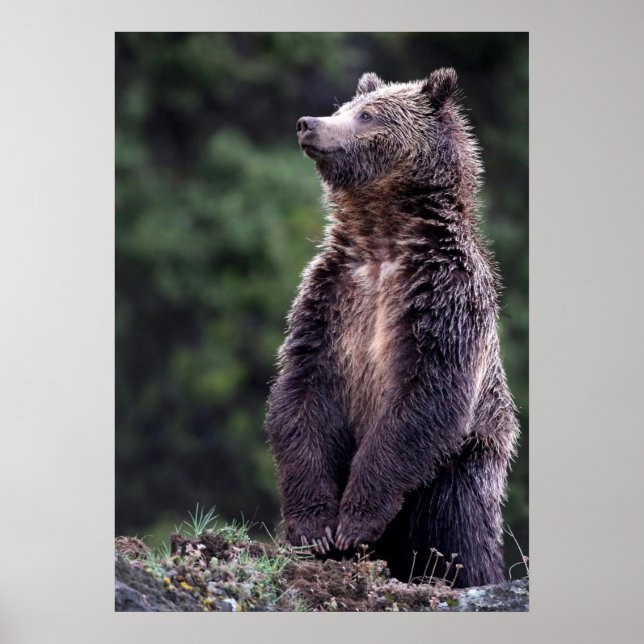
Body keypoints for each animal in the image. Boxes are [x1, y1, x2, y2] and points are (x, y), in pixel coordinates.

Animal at [265, 69, 519, 588]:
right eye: (343, 106)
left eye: (367, 114)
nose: (307, 123)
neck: (383, 238)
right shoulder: (331, 299)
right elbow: (300, 393)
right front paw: (315, 529)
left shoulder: (442, 299)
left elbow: (423, 396)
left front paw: (354, 521)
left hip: (462, 469)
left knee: (458, 532)